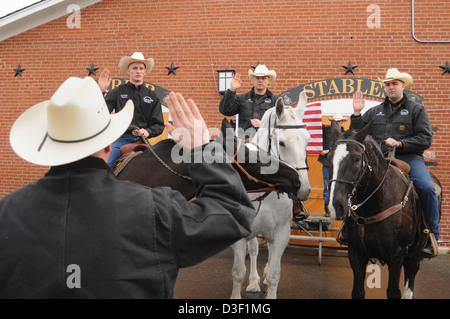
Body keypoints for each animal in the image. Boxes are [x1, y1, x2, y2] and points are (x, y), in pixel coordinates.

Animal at [230, 92, 312, 300]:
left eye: (308, 140)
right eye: (281, 142)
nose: (303, 188)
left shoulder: (281, 234)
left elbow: (275, 274)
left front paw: (269, 279)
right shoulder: (240, 235)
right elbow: (238, 273)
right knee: (253, 250)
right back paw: (253, 283)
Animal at [326, 120, 442, 300]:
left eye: (357, 158)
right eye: (328, 158)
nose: (335, 206)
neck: (374, 205)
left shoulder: (396, 256)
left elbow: (393, 292)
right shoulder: (356, 253)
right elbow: (358, 292)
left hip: (415, 254)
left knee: (410, 283)